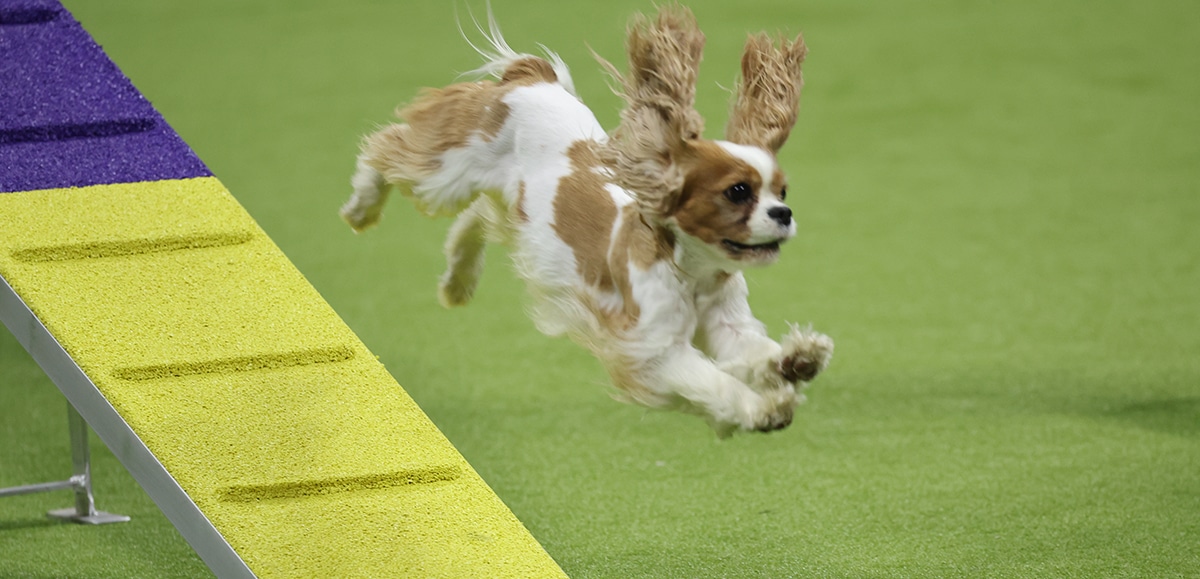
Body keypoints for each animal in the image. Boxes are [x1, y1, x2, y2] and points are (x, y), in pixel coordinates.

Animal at [340, 5, 835, 434]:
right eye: (738, 192)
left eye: (782, 192)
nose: (783, 213)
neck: (692, 272)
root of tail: (533, 79)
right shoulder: (649, 350)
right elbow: (714, 382)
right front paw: (765, 408)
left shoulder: (727, 323)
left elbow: (753, 353)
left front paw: (798, 358)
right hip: (447, 173)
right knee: (385, 147)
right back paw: (361, 207)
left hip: (514, 209)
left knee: (474, 219)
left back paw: (457, 283)